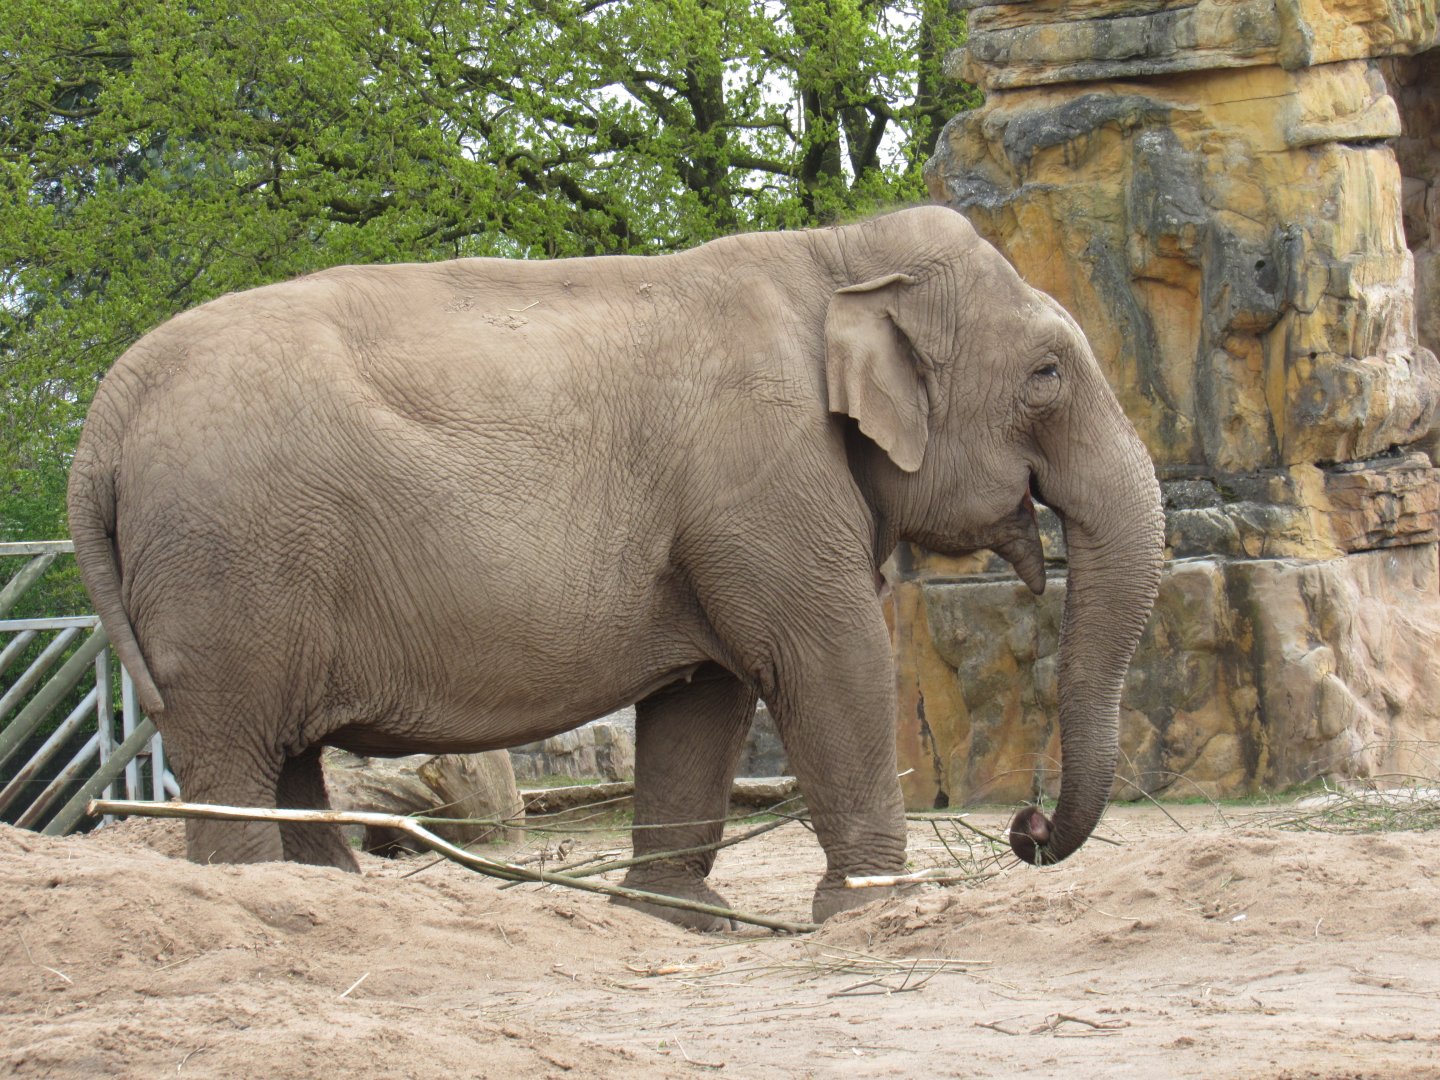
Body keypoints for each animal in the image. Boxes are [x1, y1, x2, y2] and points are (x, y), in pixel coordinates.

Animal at [67, 205, 1164, 926]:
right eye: (1047, 373)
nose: (1025, 829)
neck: (833, 255)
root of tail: (104, 417)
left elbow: (706, 696)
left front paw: (678, 915)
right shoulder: (765, 478)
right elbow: (828, 661)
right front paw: (876, 906)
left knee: (283, 753)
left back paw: (327, 893)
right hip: (228, 564)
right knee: (235, 749)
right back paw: (260, 897)